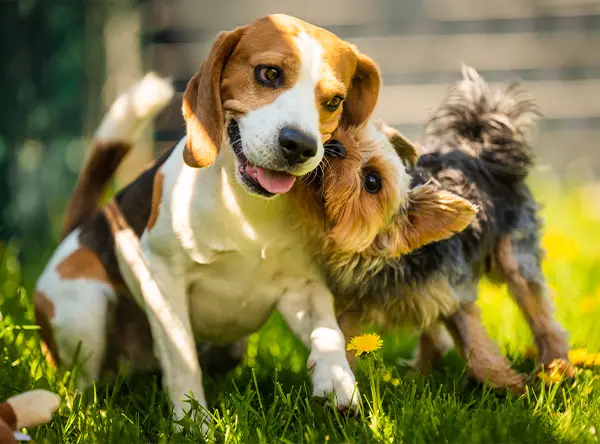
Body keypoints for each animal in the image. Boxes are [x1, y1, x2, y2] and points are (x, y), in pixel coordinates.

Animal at [34, 14, 380, 426]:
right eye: (269, 73)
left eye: (334, 101)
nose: (299, 145)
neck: (247, 208)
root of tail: (77, 230)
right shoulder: (162, 277)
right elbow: (182, 357)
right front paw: (192, 423)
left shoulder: (303, 284)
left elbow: (328, 331)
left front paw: (338, 382)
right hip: (84, 306)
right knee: (86, 381)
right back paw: (91, 407)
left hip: (230, 348)